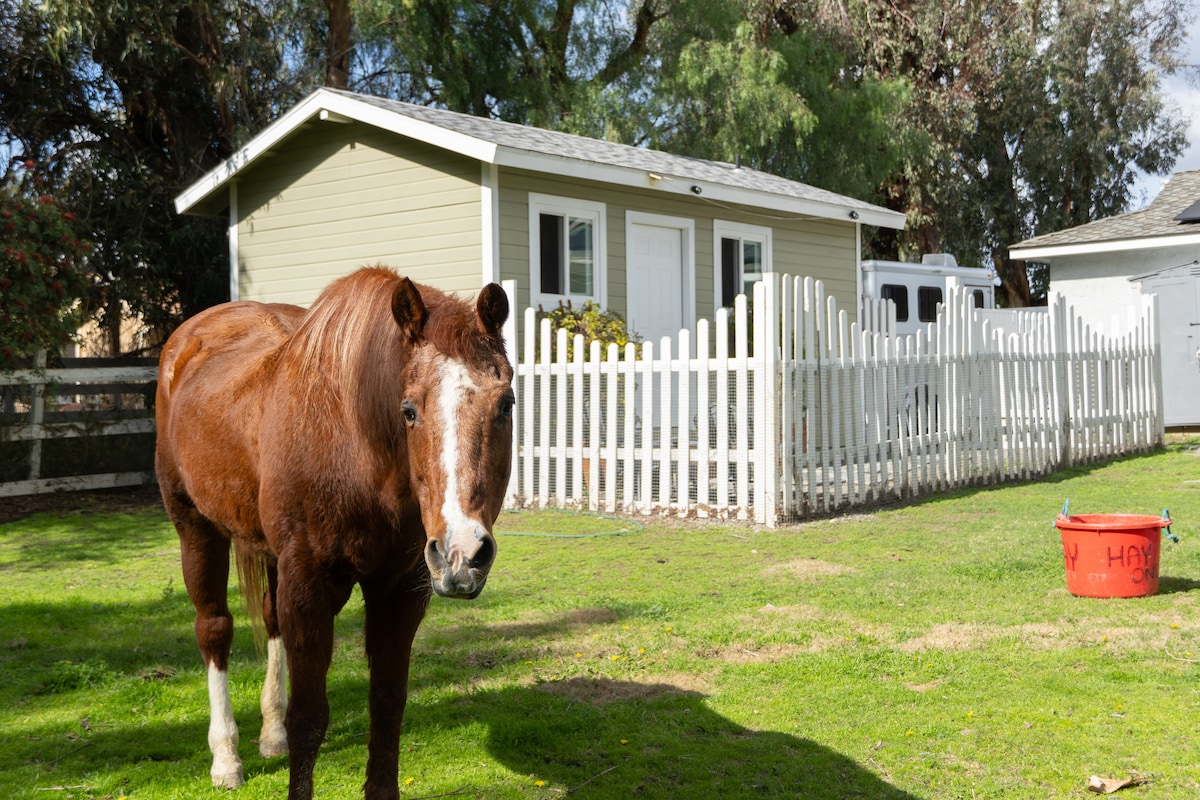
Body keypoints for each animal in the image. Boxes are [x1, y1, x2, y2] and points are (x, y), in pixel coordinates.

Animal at [153, 271, 511, 800]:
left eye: (506, 404)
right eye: (409, 410)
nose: (461, 555)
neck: (355, 447)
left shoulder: (400, 589)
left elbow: (387, 703)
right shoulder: (309, 585)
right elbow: (309, 719)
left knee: (269, 620)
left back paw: (269, 735)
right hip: (195, 527)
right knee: (214, 629)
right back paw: (226, 757)